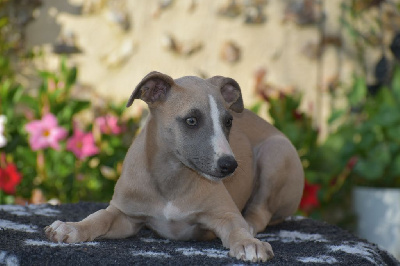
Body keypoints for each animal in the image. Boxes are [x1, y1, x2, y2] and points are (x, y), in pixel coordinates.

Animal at [45, 71, 304, 262]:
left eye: (229, 121)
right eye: (191, 120)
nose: (229, 165)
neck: (172, 178)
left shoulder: (224, 214)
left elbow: (235, 227)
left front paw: (248, 243)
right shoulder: (125, 214)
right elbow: (99, 217)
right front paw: (71, 228)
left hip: (276, 153)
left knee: (259, 213)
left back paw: (251, 232)